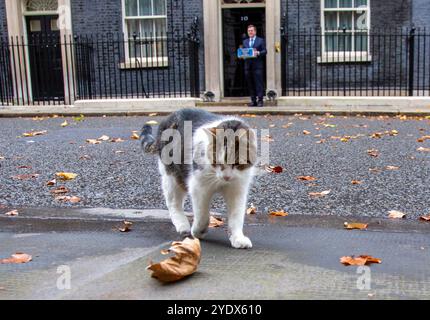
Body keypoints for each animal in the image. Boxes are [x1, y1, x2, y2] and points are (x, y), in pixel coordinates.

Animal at [141, 109, 256, 249]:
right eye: (217, 162)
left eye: (236, 163)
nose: (226, 176)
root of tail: (168, 118)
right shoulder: (198, 187)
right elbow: (202, 214)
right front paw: (198, 231)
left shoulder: (237, 190)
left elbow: (236, 216)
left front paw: (238, 238)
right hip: (173, 176)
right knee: (173, 203)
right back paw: (182, 224)